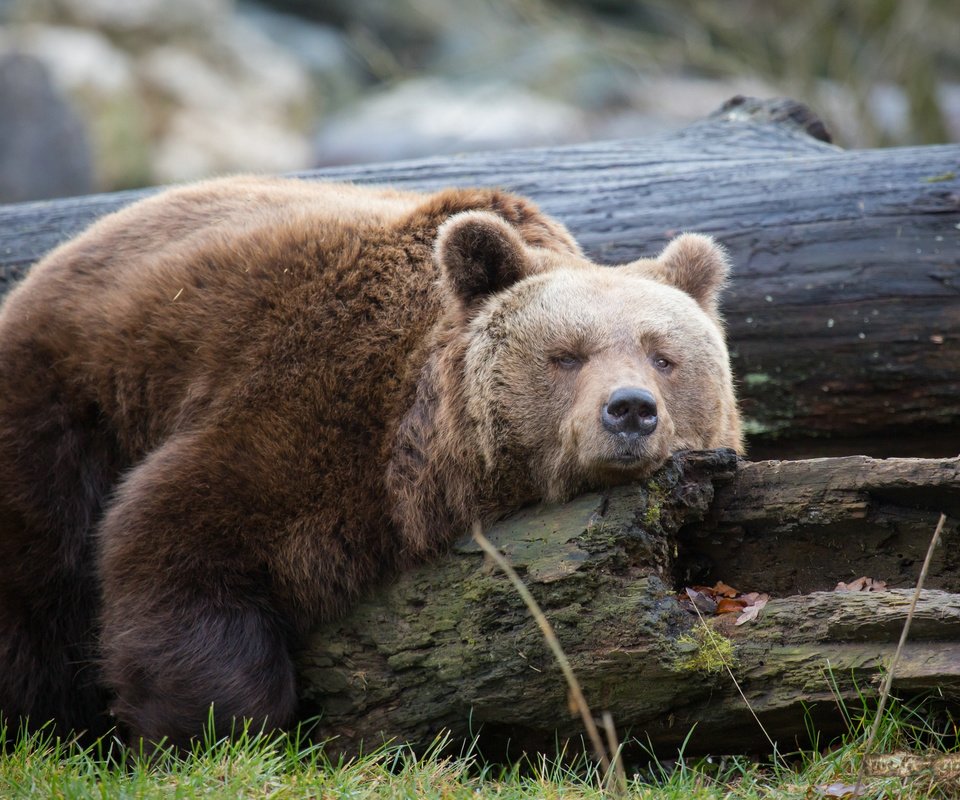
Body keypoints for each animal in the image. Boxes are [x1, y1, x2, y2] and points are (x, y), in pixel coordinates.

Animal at [0, 175, 744, 752]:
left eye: (662, 356)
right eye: (567, 354)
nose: (630, 410)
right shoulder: (308, 406)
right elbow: (174, 534)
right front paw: (213, 729)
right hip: (67, 399)